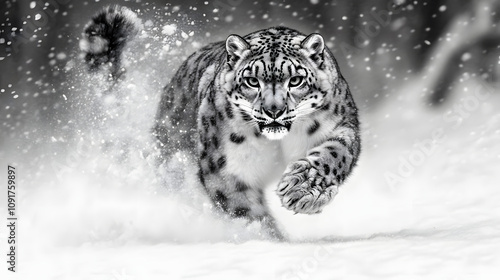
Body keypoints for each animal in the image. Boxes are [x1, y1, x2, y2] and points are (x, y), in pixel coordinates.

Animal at [83, 6, 364, 238]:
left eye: (295, 80)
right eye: (252, 81)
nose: (274, 110)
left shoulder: (340, 125)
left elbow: (333, 155)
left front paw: (303, 191)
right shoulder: (225, 166)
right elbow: (244, 209)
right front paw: (270, 239)